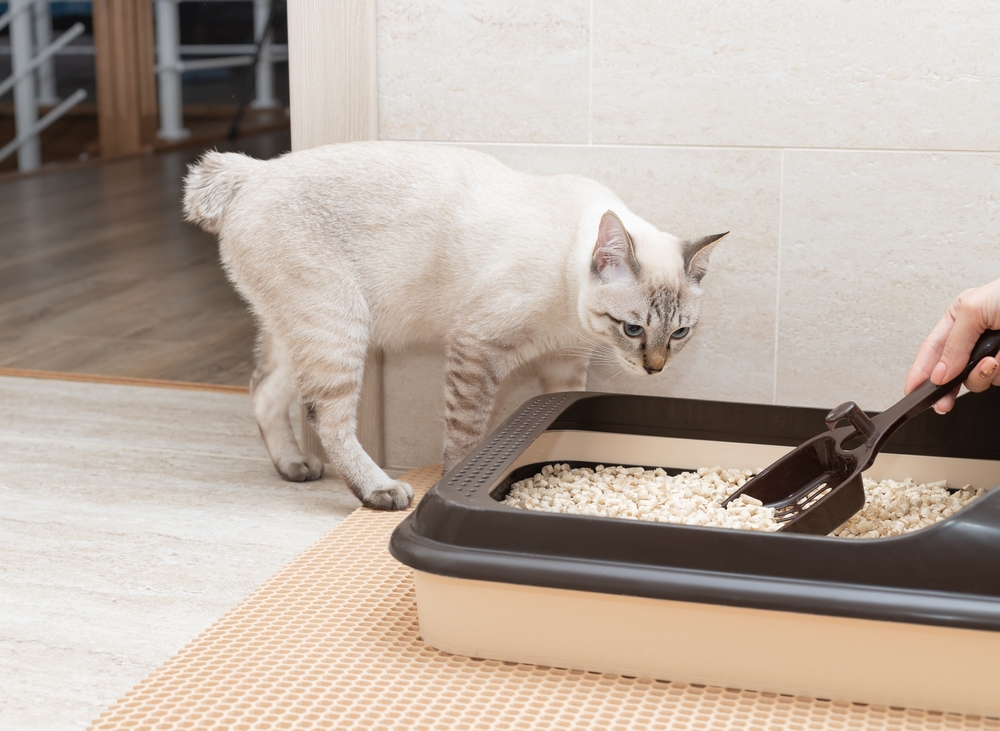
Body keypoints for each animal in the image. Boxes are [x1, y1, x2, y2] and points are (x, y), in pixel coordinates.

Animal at [182, 142, 728, 508]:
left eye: (679, 334)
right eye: (633, 330)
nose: (655, 369)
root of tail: (252, 172)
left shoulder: (563, 364)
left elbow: (566, 413)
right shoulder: (477, 347)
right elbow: (467, 435)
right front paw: (460, 477)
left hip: (293, 328)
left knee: (263, 390)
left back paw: (293, 466)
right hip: (338, 324)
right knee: (325, 416)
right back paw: (379, 489)